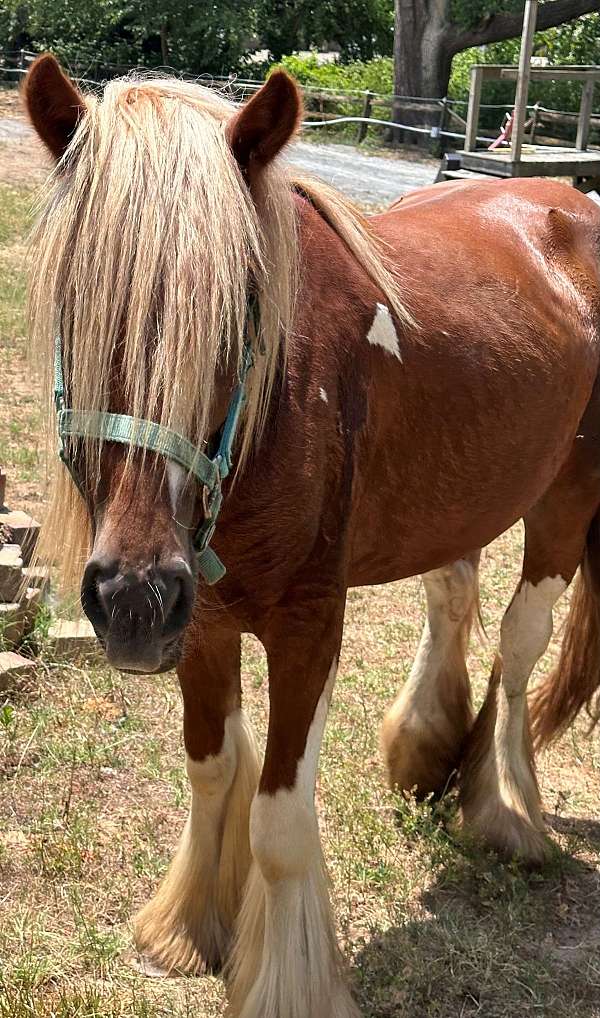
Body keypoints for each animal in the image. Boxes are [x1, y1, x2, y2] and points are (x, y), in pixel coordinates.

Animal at [25, 53, 598, 1018]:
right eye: (75, 304)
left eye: (239, 317)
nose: (131, 598)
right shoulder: (203, 624)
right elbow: (213, 770)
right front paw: (191, 928)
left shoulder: (306, 627)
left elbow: (280, 821)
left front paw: (287, 980)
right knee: (453, 596)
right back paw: (427, 750)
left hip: (566, 497)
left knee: (522, 643)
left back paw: (504, 808)